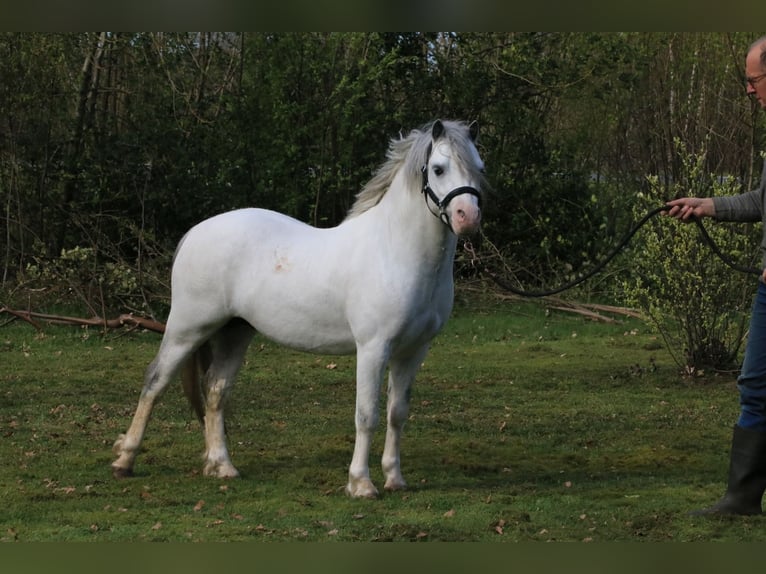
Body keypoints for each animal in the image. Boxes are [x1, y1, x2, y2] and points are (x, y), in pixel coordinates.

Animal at [111, 119, 486, 498]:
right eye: (438, 169)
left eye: (479, 168)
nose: (467, 217)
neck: (394, 251)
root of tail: (195, 232)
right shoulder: (373, 348)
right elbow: (367, 415)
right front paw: (361, 483)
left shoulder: (413, 350)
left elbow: (397, 413)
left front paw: (395, 478)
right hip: (187, 329)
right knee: (155, 382)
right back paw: (125, 461)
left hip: (235, 332)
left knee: (215, 390)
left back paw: (223, 466)